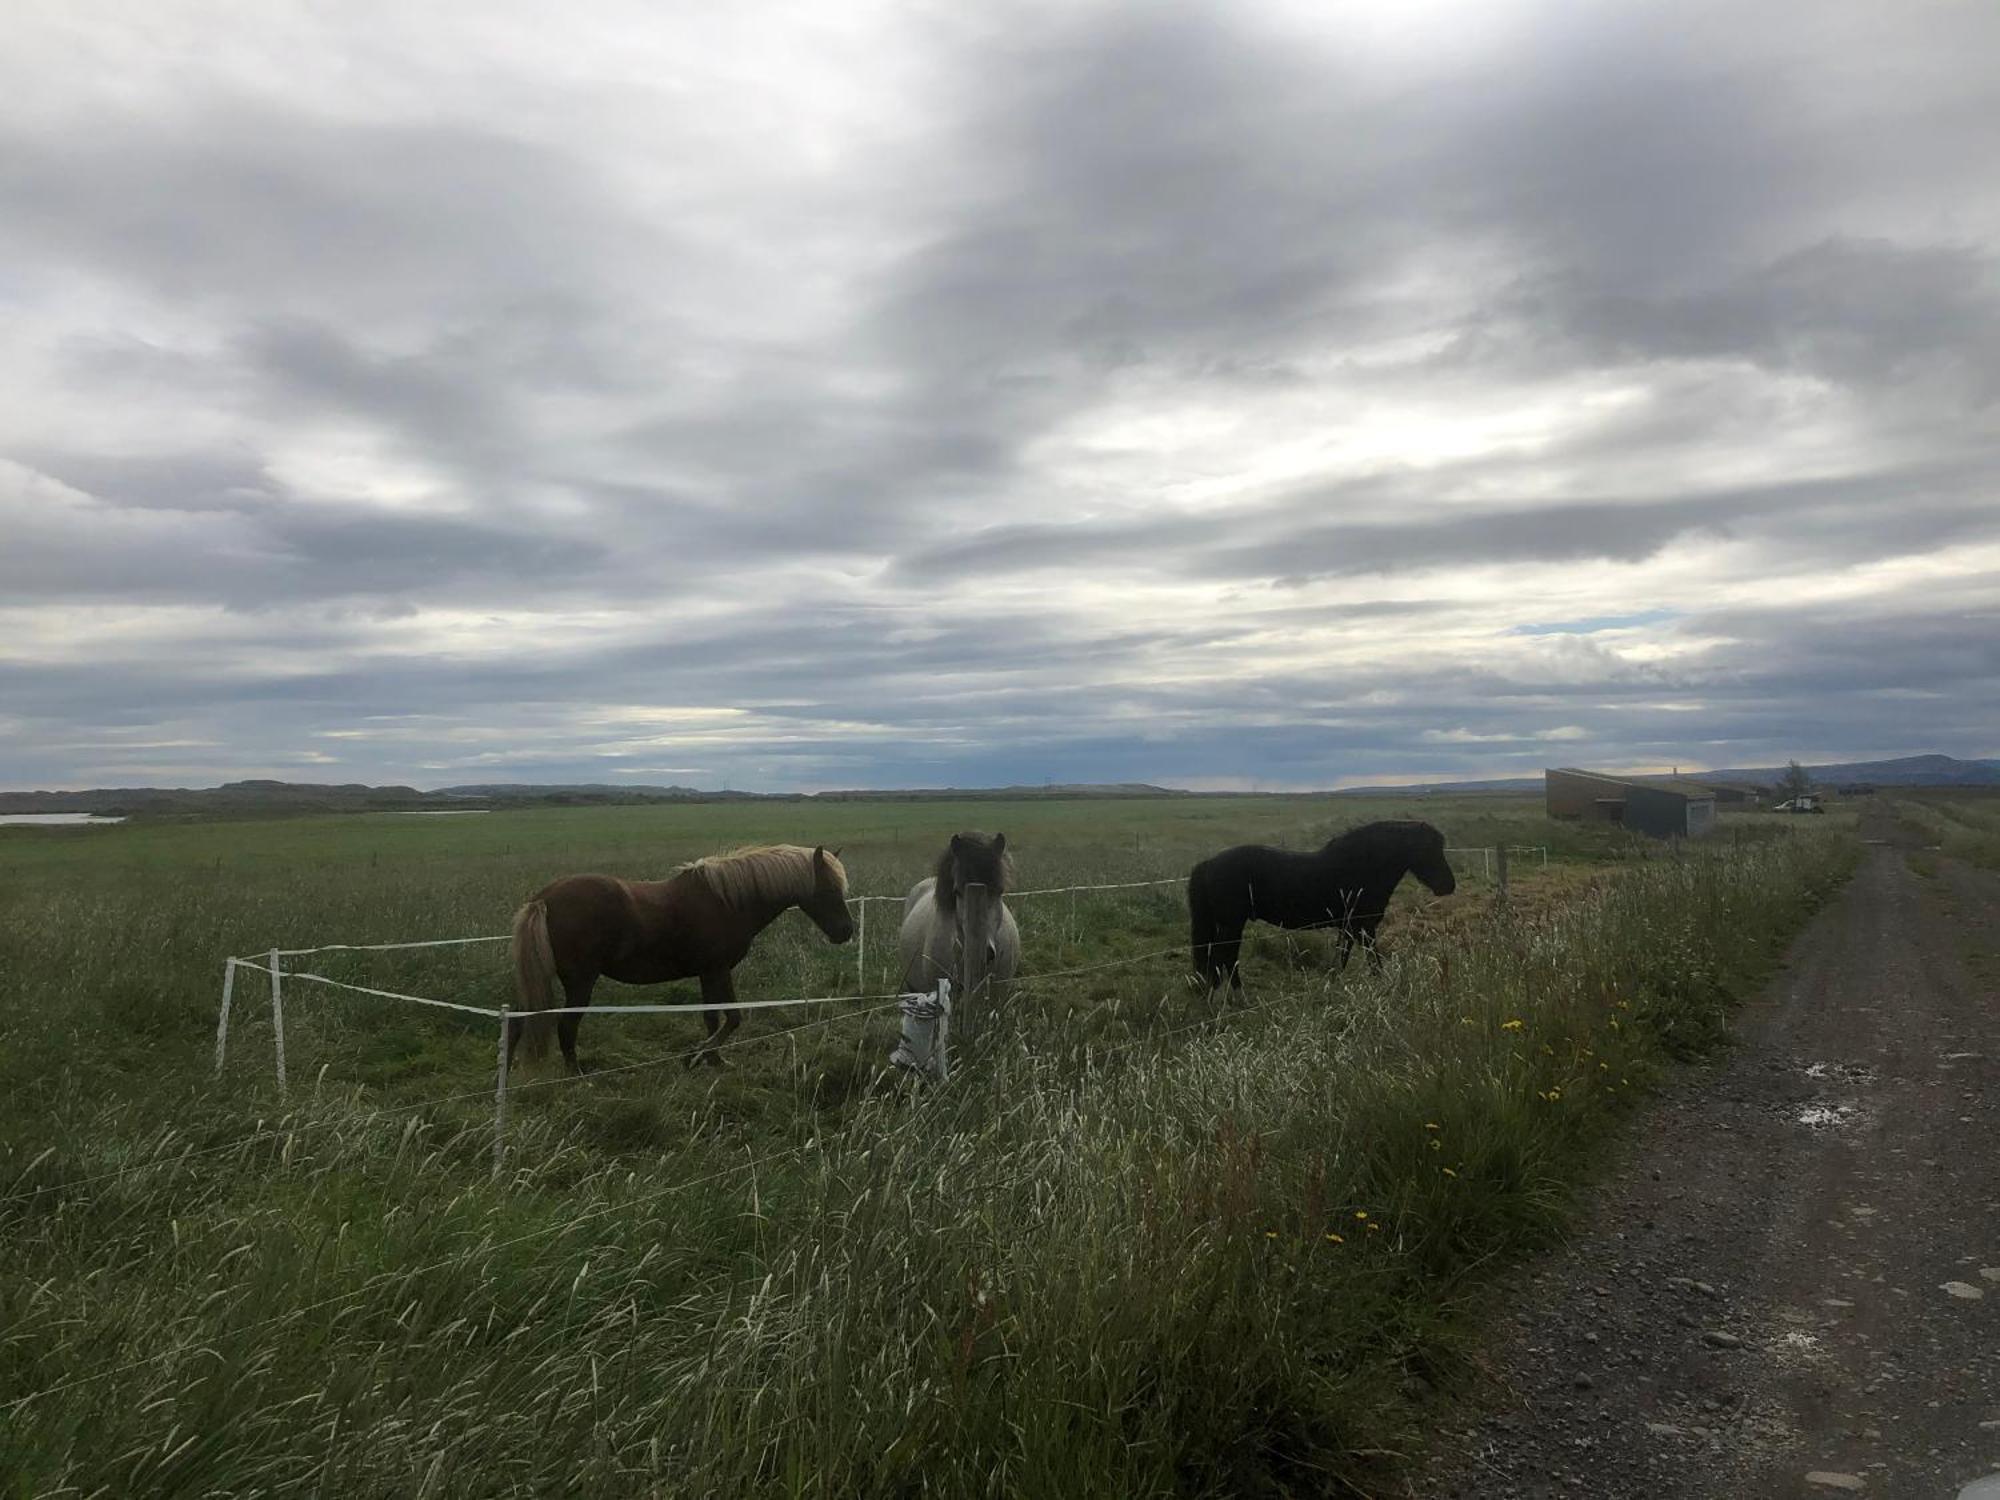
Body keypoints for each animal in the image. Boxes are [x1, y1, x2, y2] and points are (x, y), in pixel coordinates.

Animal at [508, 848, 852, 1072]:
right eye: (828, 889)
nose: (847, 931)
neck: (728, 901)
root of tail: (543, 899)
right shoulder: (716, 970)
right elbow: (729, 1017)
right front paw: (698, 1055)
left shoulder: (711, 973)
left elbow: (717, 1017)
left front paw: (713, 1059)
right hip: (580, 983)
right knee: (566, 1027)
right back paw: (577, 1076)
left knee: (517, 1022)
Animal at [1184, 828, 1456, 992]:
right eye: (1428, 849)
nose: (1448, 885)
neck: (1363, 866)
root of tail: (1210, 863)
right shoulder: (1363, 928)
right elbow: (1373, 962)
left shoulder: (1350, 928)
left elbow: (1344, 960)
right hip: (1231, 924)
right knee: (1225, 957)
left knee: (1222, 958)